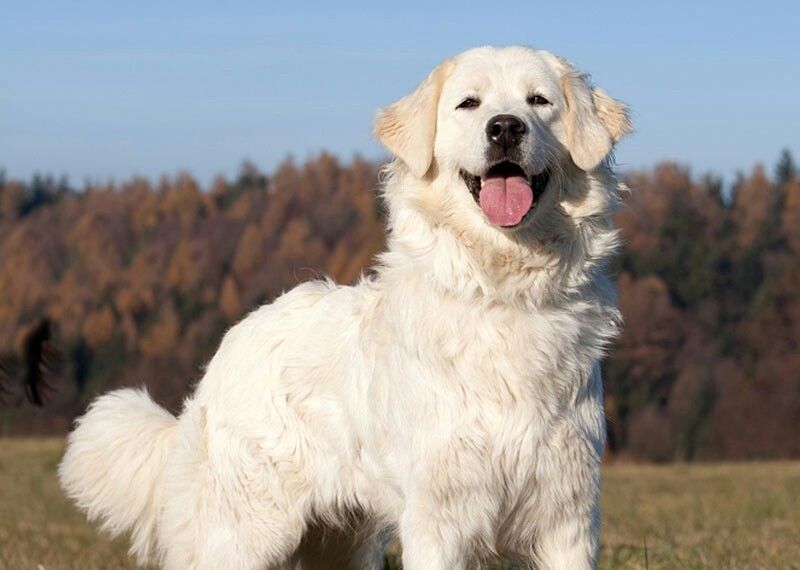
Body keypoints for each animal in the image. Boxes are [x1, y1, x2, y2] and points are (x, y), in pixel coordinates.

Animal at [57, 45, 632, 568]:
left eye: (540, 101)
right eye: (469, 104)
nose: (506, 128)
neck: (501, 291)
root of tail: (228, 346)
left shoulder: (569, 514)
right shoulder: (438, 516)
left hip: (340, 541)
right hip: (242, 532)